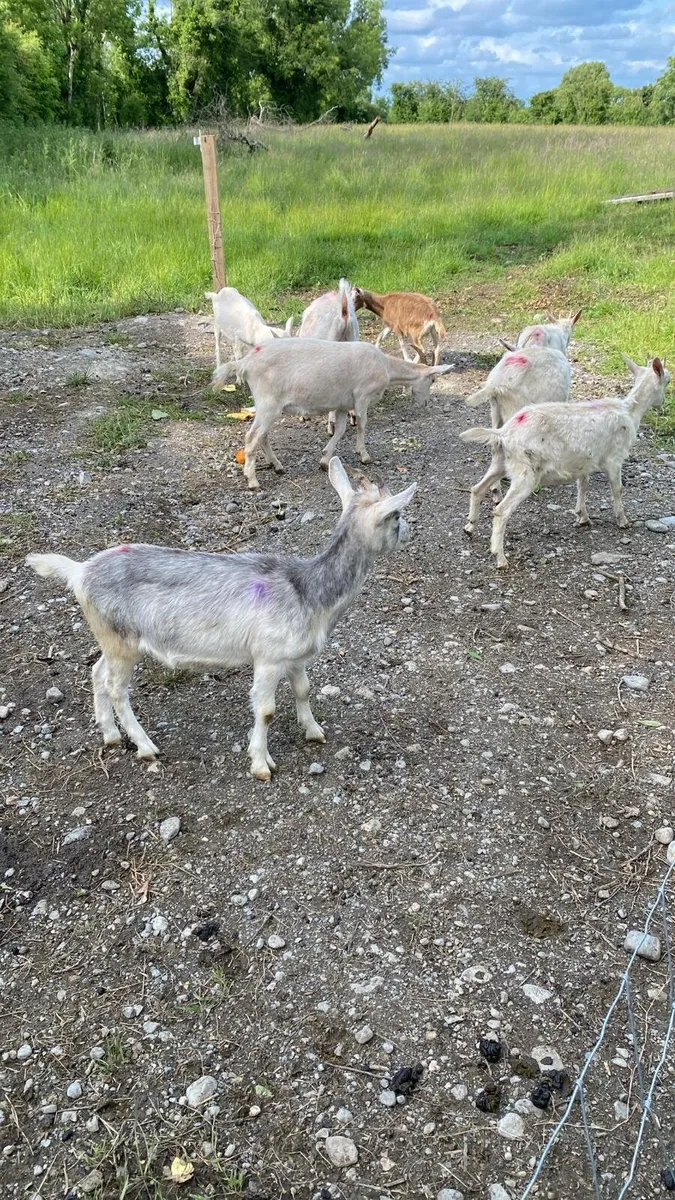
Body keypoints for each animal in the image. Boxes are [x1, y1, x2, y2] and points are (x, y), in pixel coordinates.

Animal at [26, 459, 417, 781]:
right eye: (397, 516)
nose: (409, 533)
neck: (308, 590)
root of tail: (80, 572)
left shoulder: (294, 657)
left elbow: (304, 690)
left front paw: (313, 731)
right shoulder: (268, 658)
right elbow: (267, 710)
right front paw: (261, 764)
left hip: (113, 640)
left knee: (96, 673)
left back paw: (109, 734)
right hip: (122, 642)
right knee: (116, 688)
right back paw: (146, 747)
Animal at [212, 339, 452, 490]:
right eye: (432, 379)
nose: (425, 403)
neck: (384, 366)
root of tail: (244, 363)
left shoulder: (343, 404)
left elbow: (341, 429)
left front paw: (325, 460)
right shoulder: (362, 396)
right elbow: (362, 424)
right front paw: (364, 455)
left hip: (267, 406)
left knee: (262, 436)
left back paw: (277, 466)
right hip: (268, 403)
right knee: (252, 437)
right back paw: (253, 481)